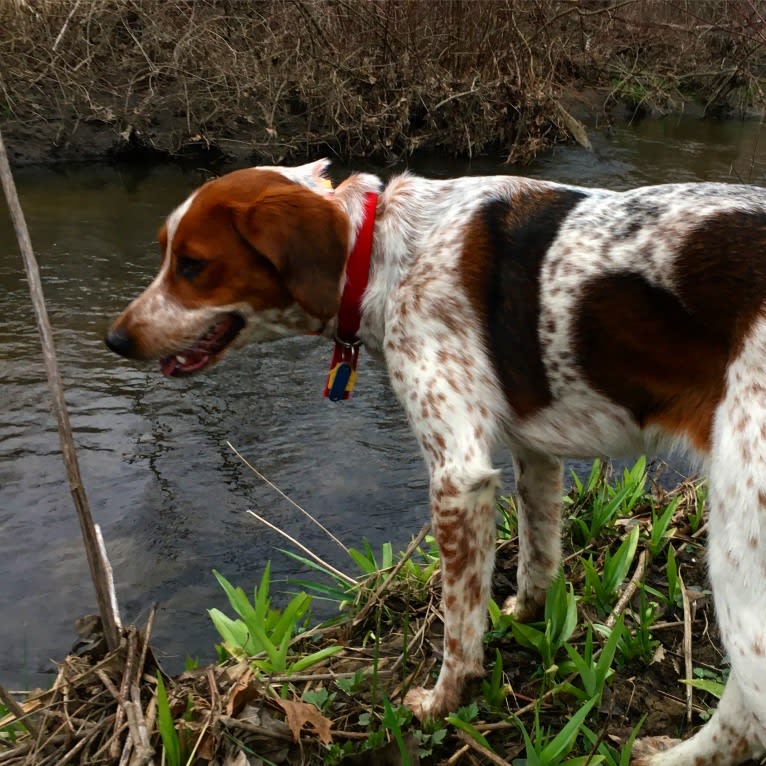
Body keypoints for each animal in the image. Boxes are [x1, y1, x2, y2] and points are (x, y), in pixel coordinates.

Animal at [105, 159, 766, 764]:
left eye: (193, 265)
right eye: (166, 255)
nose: (115, 340)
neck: (382, 253)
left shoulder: (458, 476)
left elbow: (458, 623)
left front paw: (444, 700)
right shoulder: (534, 452)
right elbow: (538, 555)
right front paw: (525, 613)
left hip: (738, 537)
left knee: (749, 714)